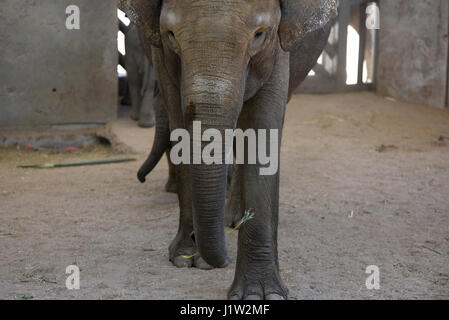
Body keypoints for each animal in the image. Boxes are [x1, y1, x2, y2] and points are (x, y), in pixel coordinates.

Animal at [119, 0, 336, 300]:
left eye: (259, 34)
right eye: (171, 34)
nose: (221, 261)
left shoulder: (278, 46)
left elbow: (262, 131)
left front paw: (260, 294)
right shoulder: (160, 52)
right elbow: (179, 124)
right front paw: (187, 258)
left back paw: (232, 219)